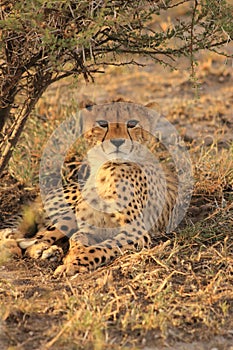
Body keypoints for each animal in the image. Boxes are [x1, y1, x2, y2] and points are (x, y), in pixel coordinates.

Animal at [0, 102, 193, 276]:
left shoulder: (136, 232)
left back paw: (43, 251)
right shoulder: (87, 226)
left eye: (132, 123)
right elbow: (79, 239)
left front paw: (73, 262)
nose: (117, 141)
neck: (106, 168)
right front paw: (73, 256)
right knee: (33, 237)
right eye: (102, 123)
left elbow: (101, 247)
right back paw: (34, 249)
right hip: (66, 214)